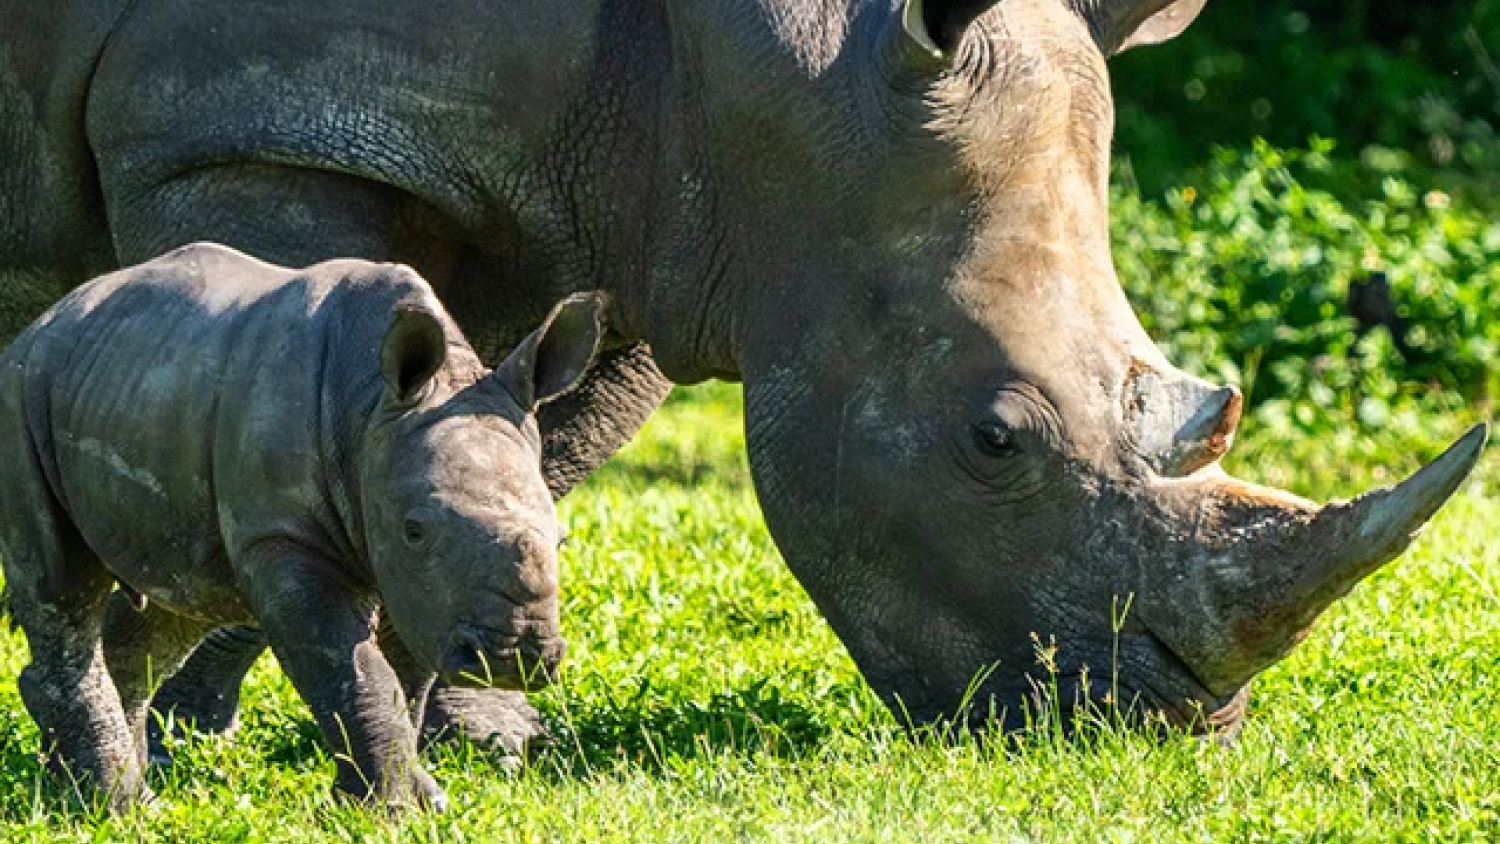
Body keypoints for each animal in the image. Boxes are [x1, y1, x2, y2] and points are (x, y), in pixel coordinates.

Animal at [0, 0, 1488, 751]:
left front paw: (480, 727)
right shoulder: (236, 129)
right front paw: (201, 726)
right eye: (993, 438)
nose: (1169, 727)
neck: (751, 61)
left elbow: (522, 441)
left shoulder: (656, 209)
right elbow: (271, 393)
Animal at [0, 243, 603, 810]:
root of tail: (45, 321)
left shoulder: (419, 580)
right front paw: (382, 813)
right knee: (63, 587)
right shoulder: (287, 535)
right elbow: (352, 668)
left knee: (173, 604)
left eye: (562, 539)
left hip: (138, 387)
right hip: (22, 395)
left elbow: (405, 681)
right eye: (416, 529)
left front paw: (415, 801)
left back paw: (80, 792)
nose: (514, 658)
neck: (372, 410)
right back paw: (120, 807)